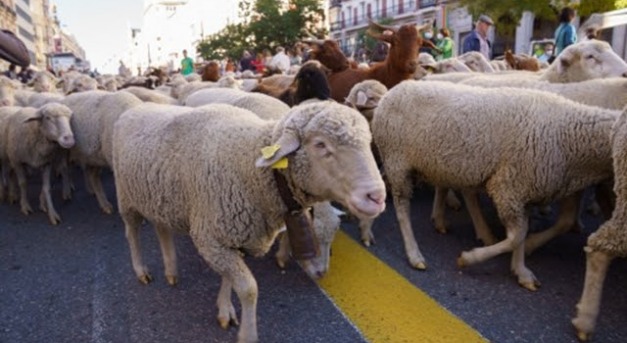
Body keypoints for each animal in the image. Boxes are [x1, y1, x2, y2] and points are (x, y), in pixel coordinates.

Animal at [113, 101, 388, 342]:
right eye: (320, 144)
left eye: (368, 143)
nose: (377, 197)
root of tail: (137, 107)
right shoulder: (211, 239)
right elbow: (248, 289)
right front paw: (247, 334)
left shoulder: (232, 235)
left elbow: (230, 279)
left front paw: (225, 310)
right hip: (126, 197)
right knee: (131, 232)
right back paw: (141, 271)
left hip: (157, 198)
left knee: (162, 229)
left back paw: (171, 271)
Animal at [370, 80, 620, 290]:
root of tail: (391, 92)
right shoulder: (507, 187)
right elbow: (516, 237)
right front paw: (469, 258)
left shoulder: (523, 190)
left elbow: (522, 233)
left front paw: (521, 271)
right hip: (397, 160)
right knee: (402, 208)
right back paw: (414, 253)